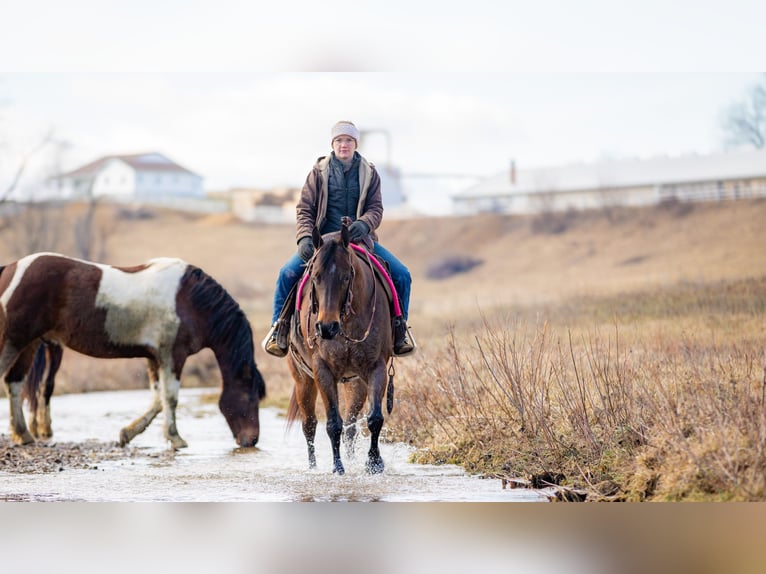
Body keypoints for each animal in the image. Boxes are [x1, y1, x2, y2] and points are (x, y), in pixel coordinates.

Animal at [0, 254, 266, 452]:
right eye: (250, 397)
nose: (251, 440)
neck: (189, 301)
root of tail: (10, 269)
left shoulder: (154, 358)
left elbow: (158, 400)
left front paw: (127, 433)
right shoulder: (172, 356)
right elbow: (170, 398)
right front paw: (176, 438)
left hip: (29, 344)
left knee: (14, 383)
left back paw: (23, 434)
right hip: (14, 341)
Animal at [286, 225, 396, 476]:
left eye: (346, 277)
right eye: (315, 277)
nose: (326, 327)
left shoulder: (376, 368)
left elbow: (374, 419)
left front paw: (374, 463)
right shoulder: (322, 371)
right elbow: (332, 424)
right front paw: (337, 467)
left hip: (355, 383)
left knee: (350, 426)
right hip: (303, 380)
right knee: (309, 425)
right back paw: (313, 467)